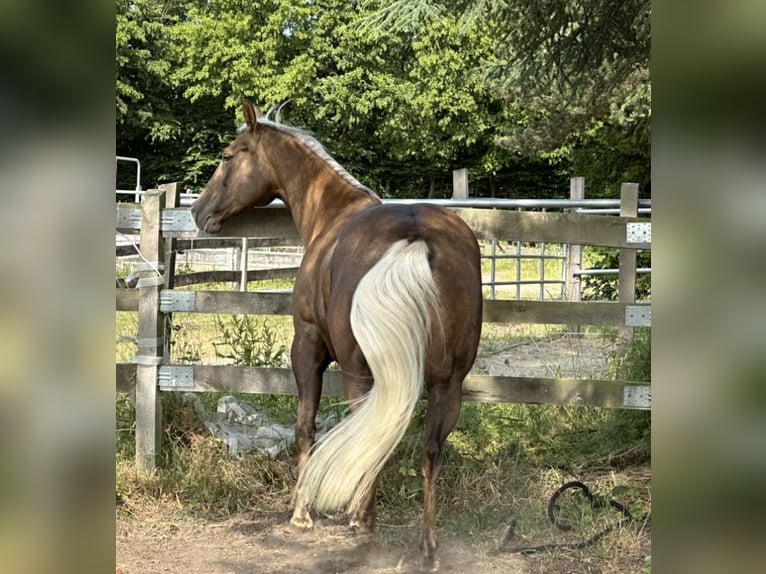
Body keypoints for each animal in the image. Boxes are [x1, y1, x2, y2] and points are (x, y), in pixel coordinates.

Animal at [191, 100, 483, 570]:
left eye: (228, 156)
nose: (198, 212)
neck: (332, 214)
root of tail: (417, 237)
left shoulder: (307, 348)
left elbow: (304, 425)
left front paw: (301, 513)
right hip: (447, 383)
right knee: (428, 452)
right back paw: (428, 549)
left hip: (360, 373)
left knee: (374, 438)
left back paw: (362, 525)